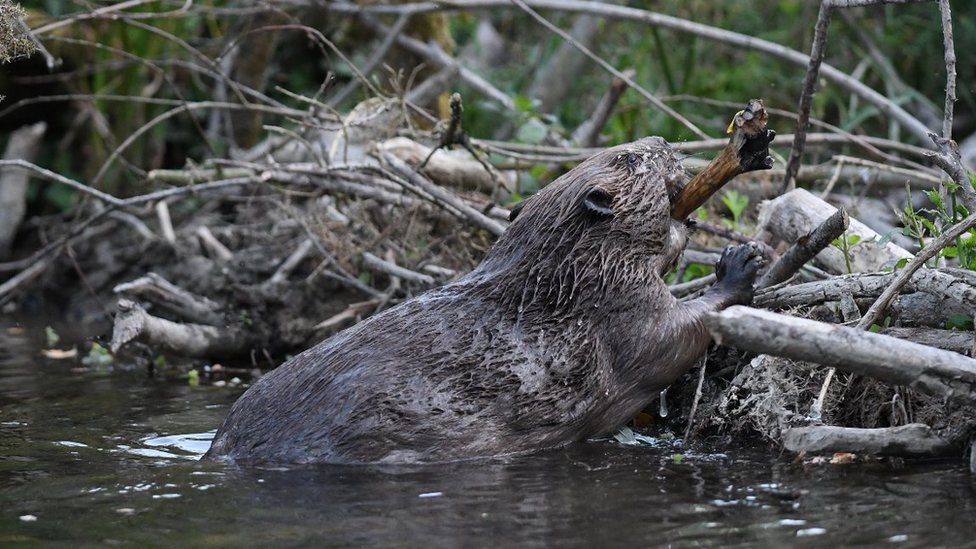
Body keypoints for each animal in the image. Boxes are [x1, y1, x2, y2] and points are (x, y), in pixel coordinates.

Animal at [208, 137, 764, 462]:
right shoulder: (617, 303)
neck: (560, 273)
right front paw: (739, 261)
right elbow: (668, 339)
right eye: (631, 159)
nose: (662, 140)